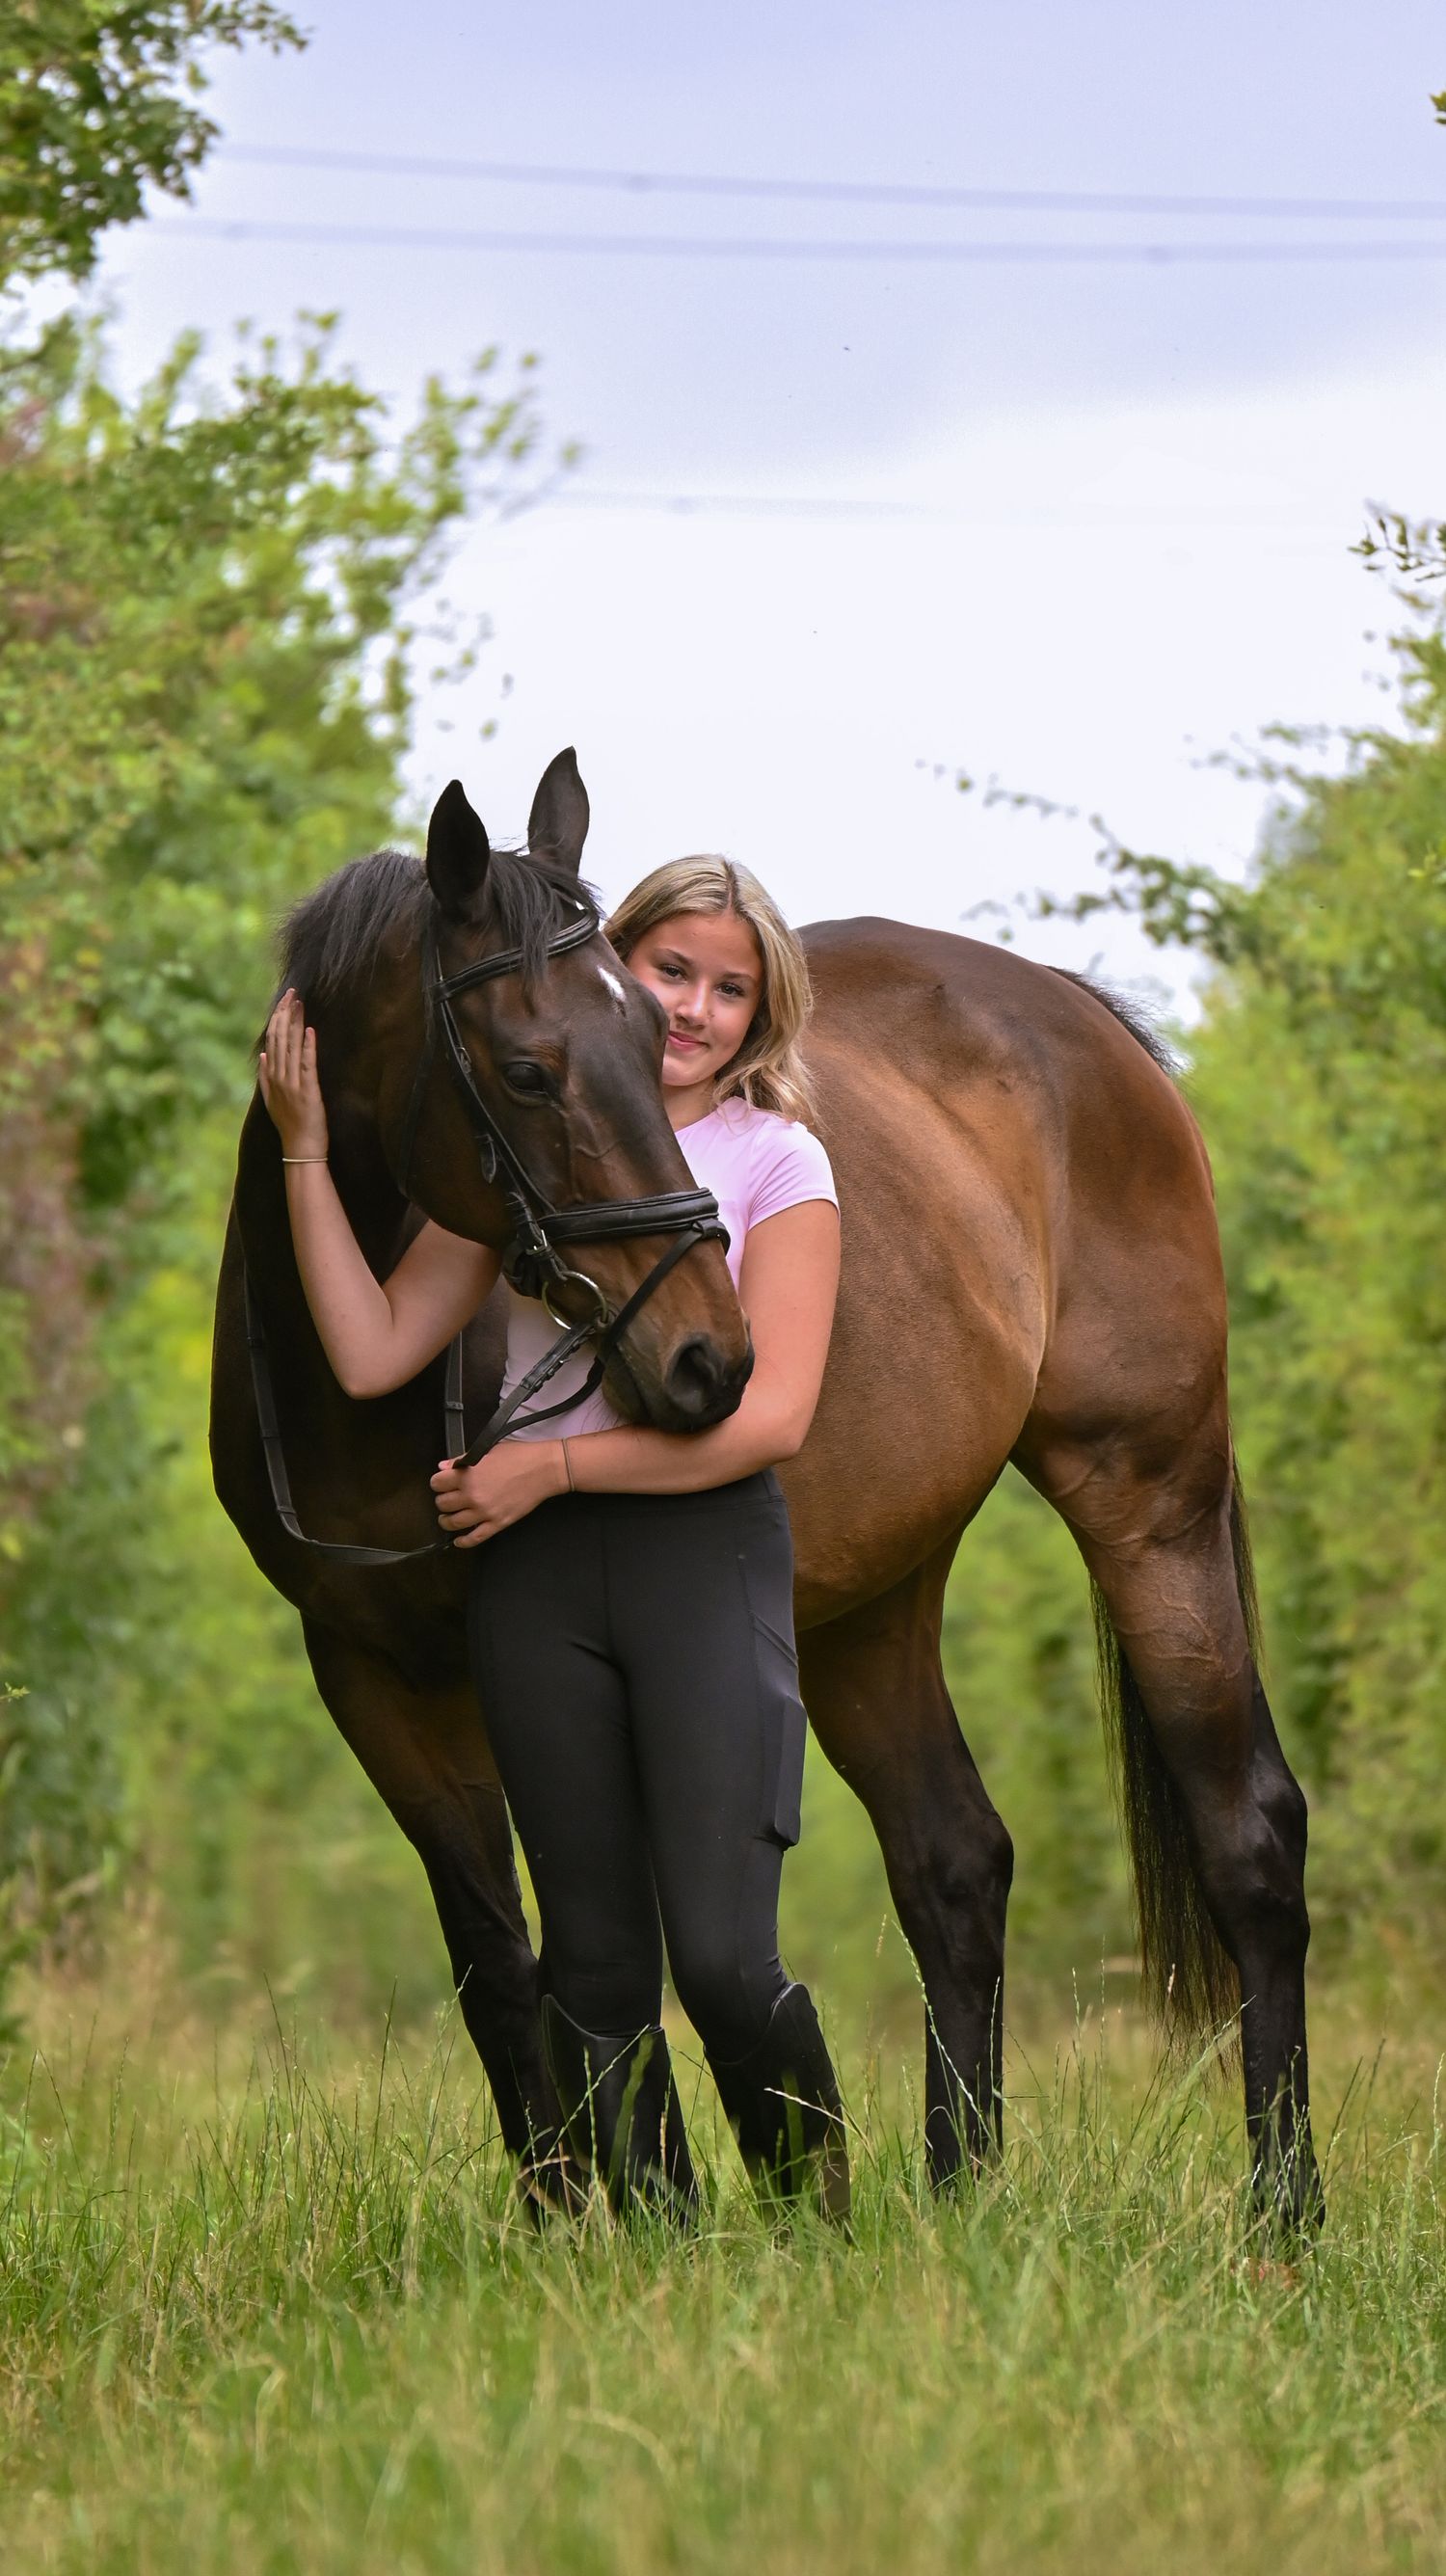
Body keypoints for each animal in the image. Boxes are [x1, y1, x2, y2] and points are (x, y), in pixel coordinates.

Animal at [211, 750, 1320, 2228]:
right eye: (528, 1068)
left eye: (655, 1038)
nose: (710, 1357)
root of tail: (1076, 1016)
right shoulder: (370, 1676)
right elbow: (502, 1967)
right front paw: (566, 2222)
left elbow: (595, 1957)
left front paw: (648, 2214)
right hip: (872, 1600)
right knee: (953, 1862)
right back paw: (960, 2197)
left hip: (1153, 1503)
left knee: (1249, 1834)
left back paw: (1284, 2209)